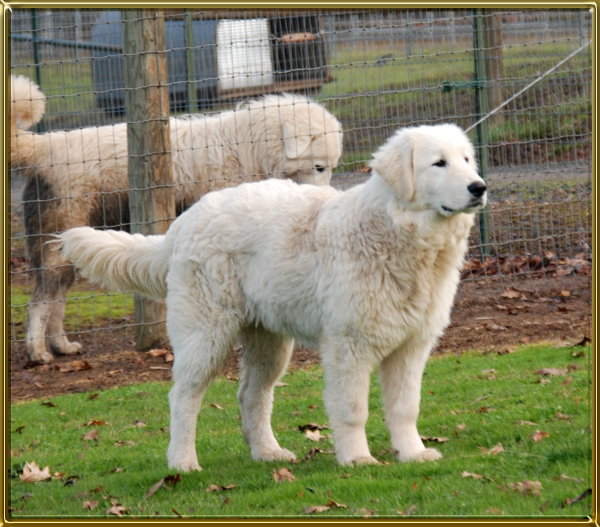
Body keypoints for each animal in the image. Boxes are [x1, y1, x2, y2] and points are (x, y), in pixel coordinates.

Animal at [10, 74, 342, 366]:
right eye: (319, 167)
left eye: (330, 167)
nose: (327, 199)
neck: (247, 149)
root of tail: (46, 146)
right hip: (57, 248)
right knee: (40, 301)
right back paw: (37, 353)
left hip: (61, 249)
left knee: (55, 300)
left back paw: (61, 346)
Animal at [57, 124, 488, 470]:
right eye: (438, 163)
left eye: (467, 159)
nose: (479, 187)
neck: (399, 231)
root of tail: (183, 223)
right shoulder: (348, 347)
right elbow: (353, 410)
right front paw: (357, 459)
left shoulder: (412, 345)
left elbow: (405, 408)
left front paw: (413, 454)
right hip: (205, 337)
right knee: (183, 397)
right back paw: (182, 463)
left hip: (270, 343)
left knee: (252, 396)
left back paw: (267, 453)